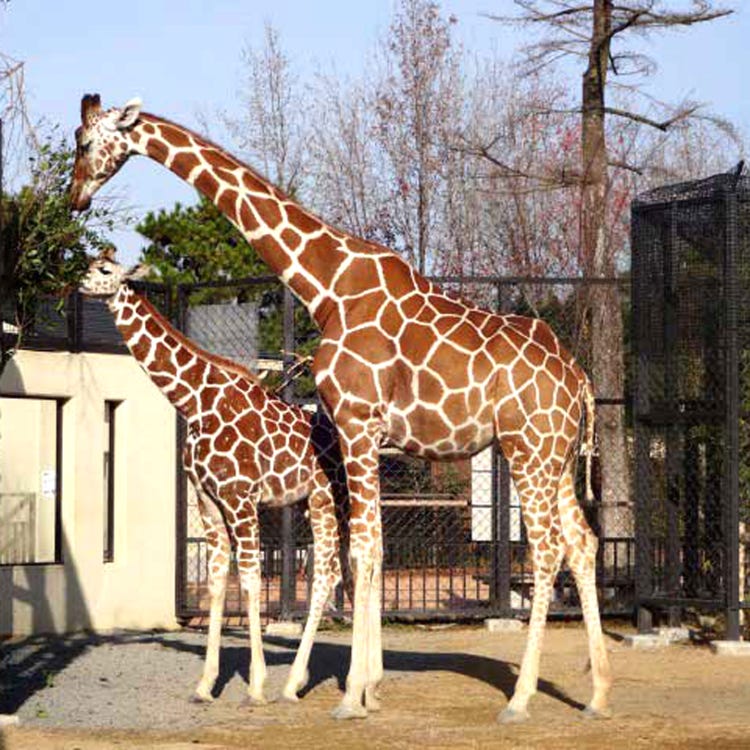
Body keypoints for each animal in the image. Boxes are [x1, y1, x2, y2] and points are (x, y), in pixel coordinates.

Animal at [81, 250, 352, 708]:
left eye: (104, 270)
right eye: (88, 263)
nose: (78, 283)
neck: (194, 402)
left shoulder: (241, 498)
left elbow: (251, 580)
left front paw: (256, 685)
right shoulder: (207, 498)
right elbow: (216, 581)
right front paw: (205, 684)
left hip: (324, 499)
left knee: (328, 575)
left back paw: (295, 683)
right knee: (353, 569)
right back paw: (341, 681)